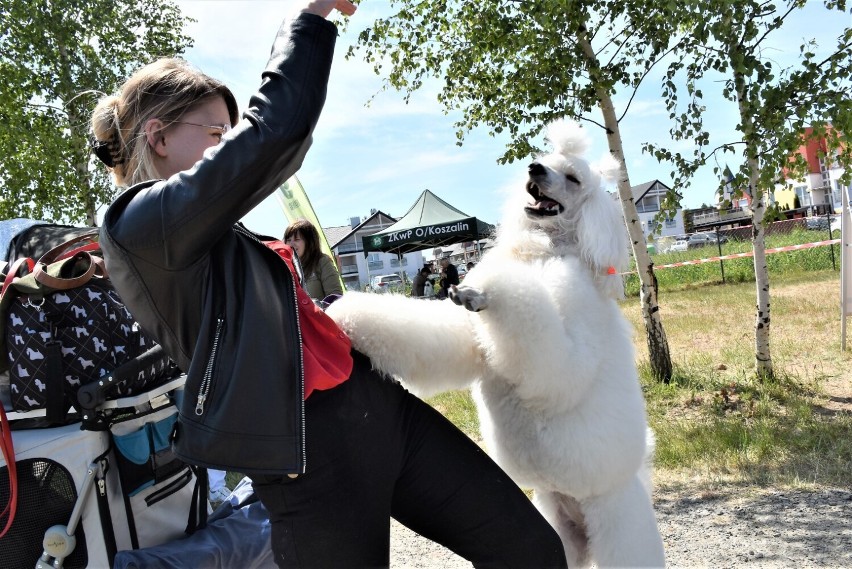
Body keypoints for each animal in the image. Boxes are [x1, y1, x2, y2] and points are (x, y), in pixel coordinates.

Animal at [326, 117, 664, 564]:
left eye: (573, 178)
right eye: (545, 161)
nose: (534, 169)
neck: (548, 252)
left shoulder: (568, 342)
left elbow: (557, 365)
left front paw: (489, 290)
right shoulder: (475, 335)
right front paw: (347, 317)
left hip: (617, 522)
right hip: (558, 524)